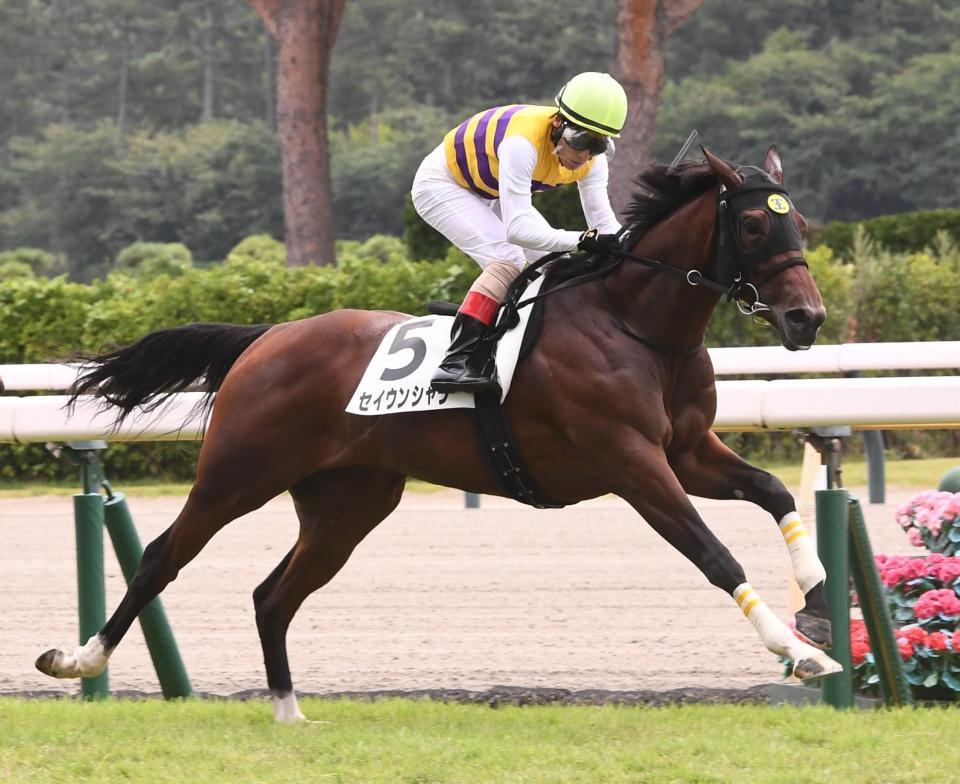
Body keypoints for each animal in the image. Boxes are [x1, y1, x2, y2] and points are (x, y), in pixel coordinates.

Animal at [36, 146, 841, 722]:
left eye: (799, 222)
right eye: (752, 225)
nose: (807, 319)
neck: (634, 324)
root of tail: (266, 338)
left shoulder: (688, 451)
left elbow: (775, 493)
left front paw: (818, 608)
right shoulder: (632, 464)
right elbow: (712, 552)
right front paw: (795, 652)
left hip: (349, 503)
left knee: (273, 595)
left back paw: (290, 712)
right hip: (237, 474)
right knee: (161, 559)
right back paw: (78, 662)